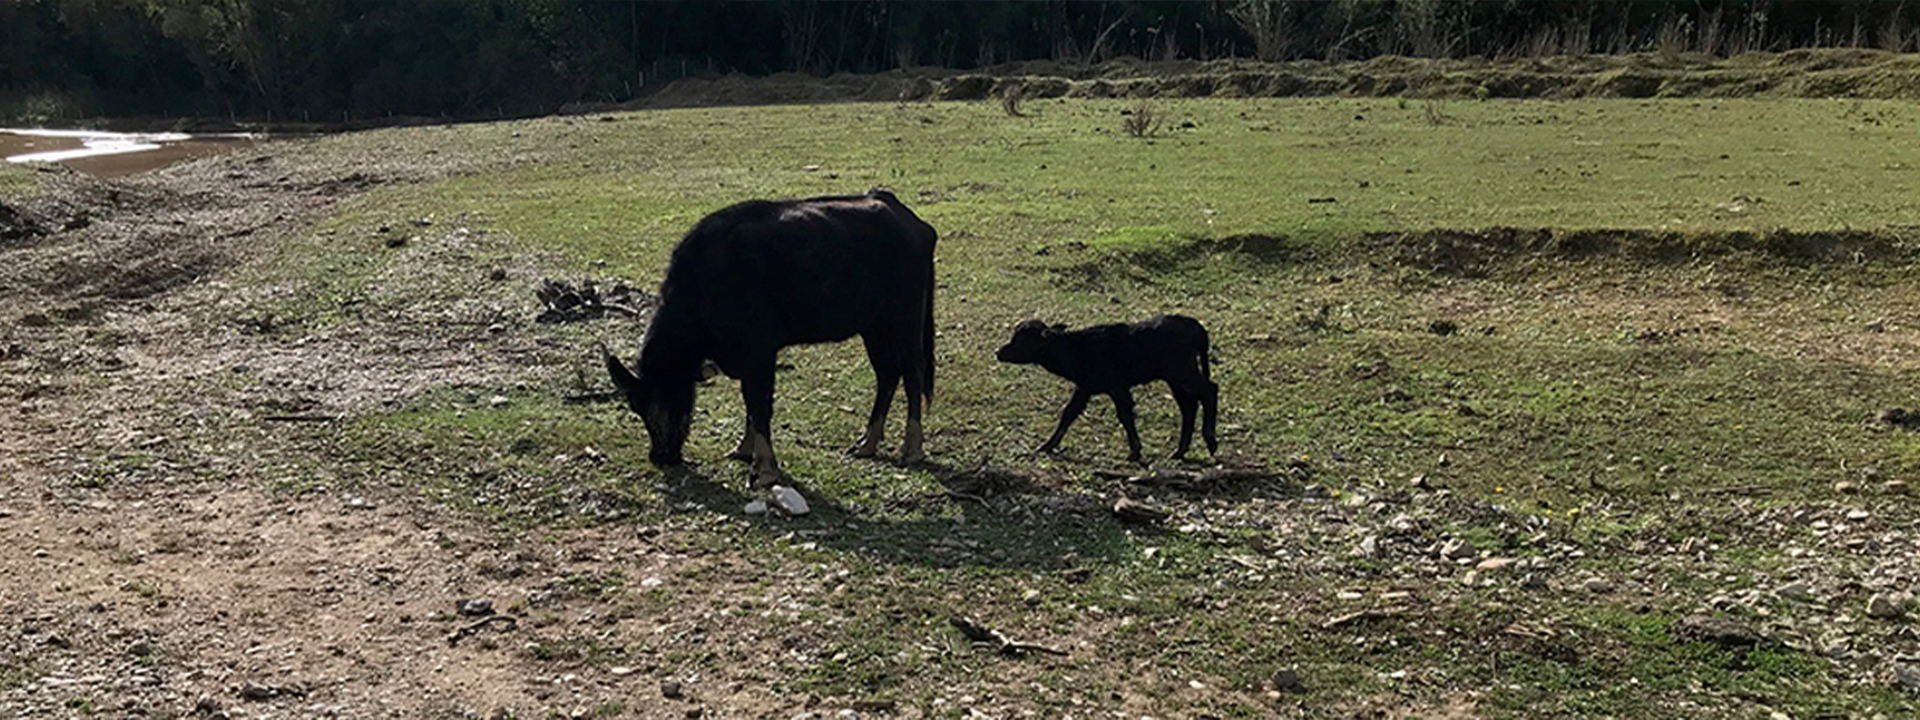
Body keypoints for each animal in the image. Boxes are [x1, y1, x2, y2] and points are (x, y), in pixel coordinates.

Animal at [595, 189, 933, 487]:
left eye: (662, 402)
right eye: (637, 408)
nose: (661, 457)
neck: (706, 282)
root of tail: (914, 223)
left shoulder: (760, 353)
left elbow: (760, 406)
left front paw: (765, 469)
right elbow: (750, 405)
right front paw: (745, 450)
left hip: (904, 320)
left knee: (912, 375)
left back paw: (911, 448)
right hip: (874, 327)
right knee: (887, 374)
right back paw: (867, 443)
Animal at [998, 314, 1221, 462]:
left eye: (1021, 340)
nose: (998, 352)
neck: (1078, 351)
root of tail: (1198, 328)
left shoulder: (1116, 386)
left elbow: (1125, 415)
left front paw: (1134, 451)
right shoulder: (1086, 387)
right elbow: (1069, 413)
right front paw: (1047, 446)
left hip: (1181, 369)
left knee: (1209, 390)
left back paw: (1210, 440)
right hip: (1175, 376)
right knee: (1189, 405)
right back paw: (1179, 451)